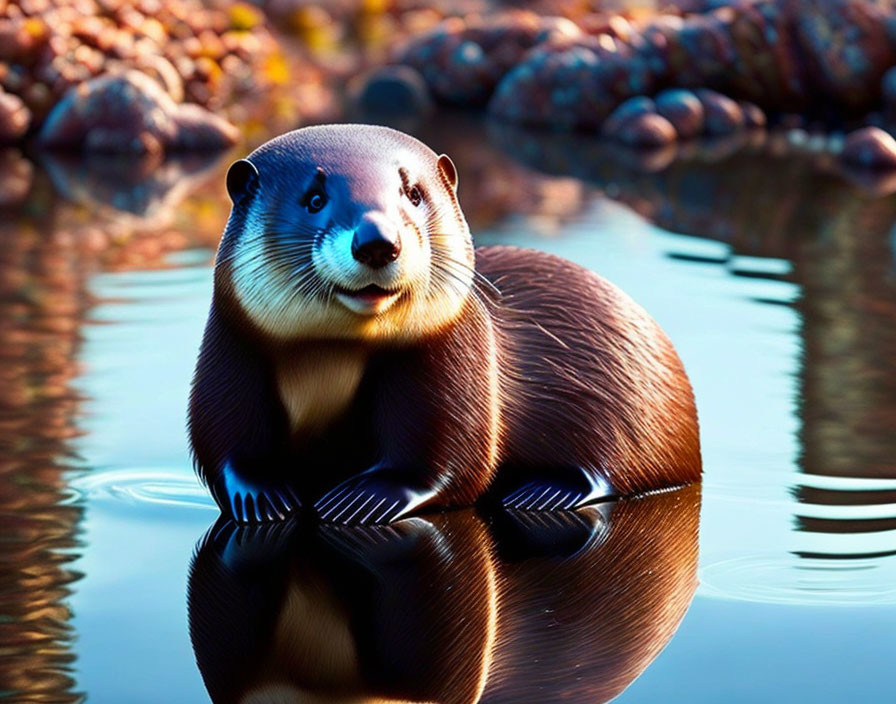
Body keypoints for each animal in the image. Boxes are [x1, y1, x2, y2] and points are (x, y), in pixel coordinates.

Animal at [189, 125, 700, 524]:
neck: (331, 363)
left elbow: (448, 459)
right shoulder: (230, 356)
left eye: (413, 193)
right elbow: (223, 443)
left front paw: (364, 499)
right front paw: (263, 496)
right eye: (314, 198)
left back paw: (547, 492)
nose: (378, 241)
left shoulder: (453, 365)